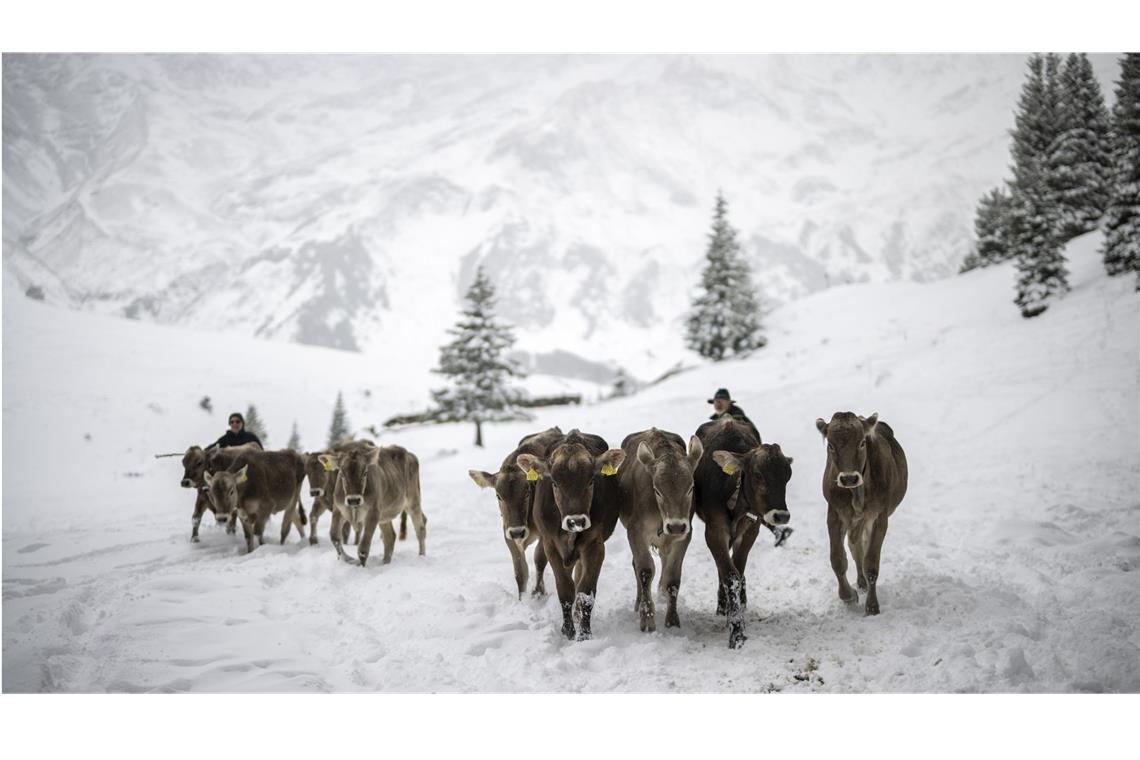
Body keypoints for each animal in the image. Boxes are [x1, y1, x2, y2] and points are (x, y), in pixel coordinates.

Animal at [469, 428, 563, 601]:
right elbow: (520, 570)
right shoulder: (507, 532)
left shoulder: (545, 533)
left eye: (527, 492)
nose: (518, 532)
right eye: (498, 496)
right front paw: (521, 599)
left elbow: (539, 559)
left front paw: (538, 592)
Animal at [515, 430, 624, 638]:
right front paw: (568, 630)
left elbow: (585, 592)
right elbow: (565, 590)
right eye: (555, 483)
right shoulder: (550, 544)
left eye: (591, 481)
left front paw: (584, 633)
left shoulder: (595, 545)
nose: (576, 521)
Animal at [615, 430, 702, 633]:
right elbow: (645, 570)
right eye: (657, 490)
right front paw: (647, 617)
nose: (676, 525)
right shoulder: (636, 531)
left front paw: (672, 620)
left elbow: (673, 579)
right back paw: (639, 602)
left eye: (690, 488)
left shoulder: (684, 536)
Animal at [693, 417, 793, 647]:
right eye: (758, 474)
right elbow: (731, 576)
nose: (781, 516)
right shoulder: (714, 531)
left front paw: (736, 619)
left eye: (788, 476)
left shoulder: (750, 529)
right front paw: (736, 632)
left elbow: (738, 570)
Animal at [820, 412, 907, 615]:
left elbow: (872, 563)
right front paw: (848, 596)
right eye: (830, 445)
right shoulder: (835, 514)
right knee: (855, 547)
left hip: (865, 521)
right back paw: (860, 583)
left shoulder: (879, 517)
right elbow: (837, 559)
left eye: (861, 443)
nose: (848, 478)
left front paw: (872, 606)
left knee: (861, 547)